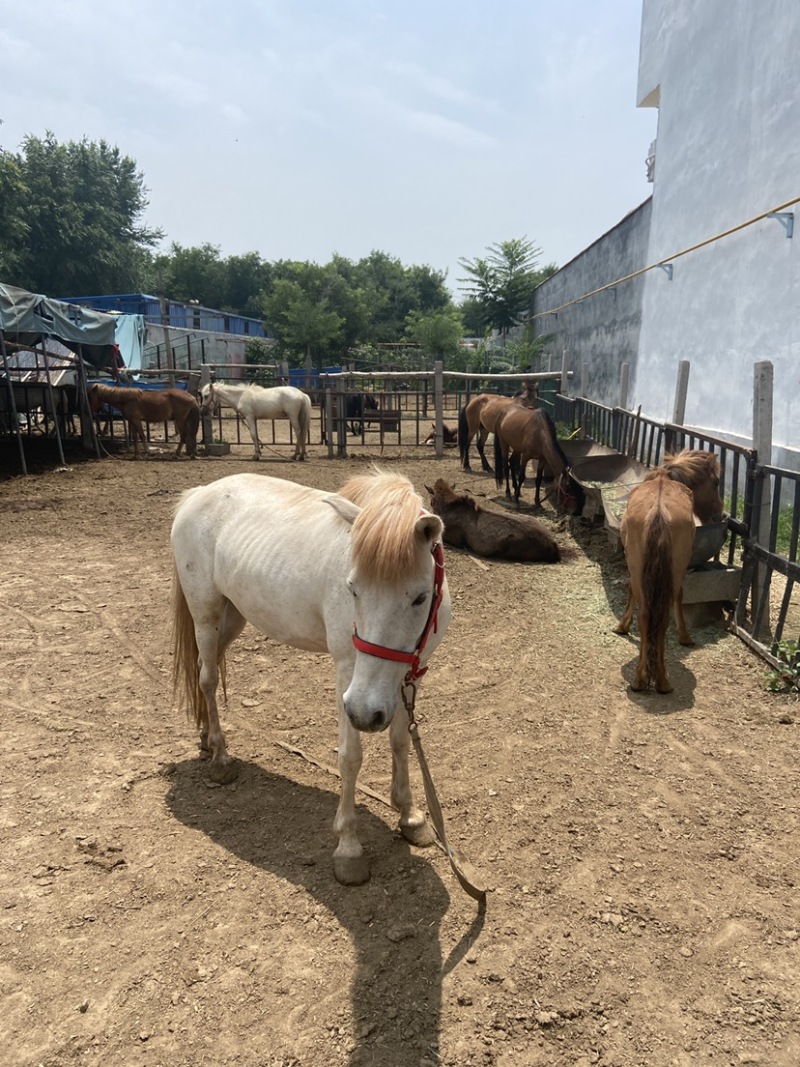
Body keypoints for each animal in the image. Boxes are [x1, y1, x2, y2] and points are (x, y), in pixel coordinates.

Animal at [170, 469, 451, 886]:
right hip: (206, 614)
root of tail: (196, 494)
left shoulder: (408, 673)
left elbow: (401, 741)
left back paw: (206, 737)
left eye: (419, 597)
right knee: (207, 679)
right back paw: (221, 758)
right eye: (353, 589)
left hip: (233, 616)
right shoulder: (349, 673)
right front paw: (348, 849)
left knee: (210, 670)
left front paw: (410, 816)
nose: (365, 713)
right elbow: (350, 757)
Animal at [613, 449, 724, 693]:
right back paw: (659, 680)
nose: (720, 514)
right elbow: (679, 597)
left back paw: (645, 679)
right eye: (716, 482)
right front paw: (684, 635)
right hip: (670, 570)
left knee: (648, 616)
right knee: (658, 615)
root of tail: (659, 512)